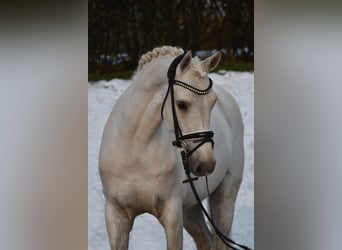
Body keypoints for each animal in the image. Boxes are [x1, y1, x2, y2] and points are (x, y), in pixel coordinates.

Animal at [97, 46, 244, 249]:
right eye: (181, 104)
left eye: (213, 102)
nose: (206, 164)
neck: (136, 153)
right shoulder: (115, 216)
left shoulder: (172, 214)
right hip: (191, 208)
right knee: (205, 240)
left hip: (224, 197)